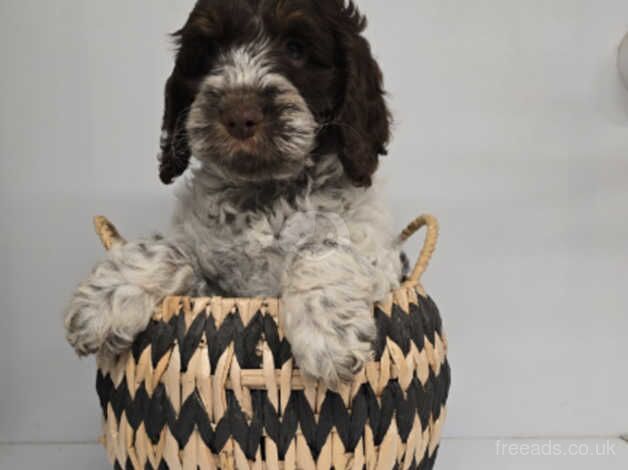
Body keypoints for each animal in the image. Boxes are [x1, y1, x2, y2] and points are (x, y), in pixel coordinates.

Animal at [65, 0, 402, 390]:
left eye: (296, 49)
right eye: (210, 51)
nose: (240, 115)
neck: (263, 193)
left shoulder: (377, 252)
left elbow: (323, 246)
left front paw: (328, 334)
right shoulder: (215, 291)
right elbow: (166, 248)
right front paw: (104, 299)